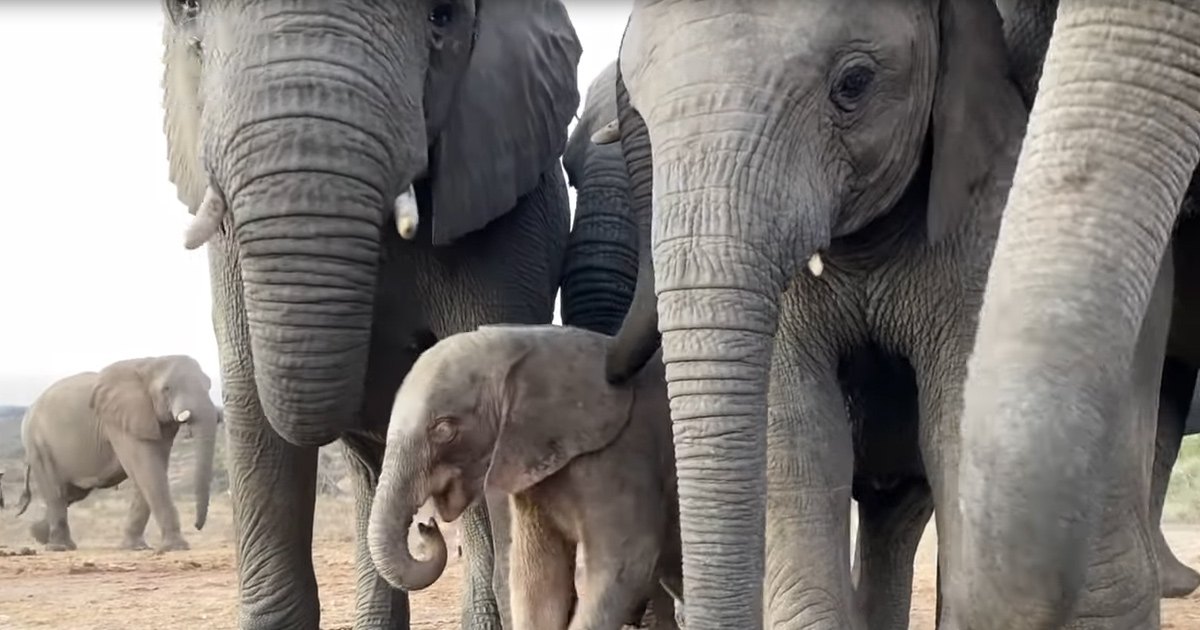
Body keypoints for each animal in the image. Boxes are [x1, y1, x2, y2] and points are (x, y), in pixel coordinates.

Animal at [14, 355, 219, 553]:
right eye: (166, 389)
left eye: (209, 385)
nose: (197, 526)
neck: (150, 363)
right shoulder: (118, 420)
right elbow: (147, 470)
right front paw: (176, 548)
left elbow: (150, 472)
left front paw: (135, 548)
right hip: (38, 445)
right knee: (57, 493)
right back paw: (59, 547)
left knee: (70, 494)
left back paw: (39, 534)